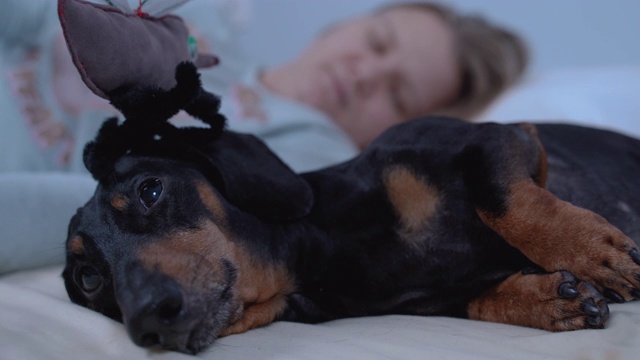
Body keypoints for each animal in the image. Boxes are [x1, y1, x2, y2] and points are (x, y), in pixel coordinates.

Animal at [62, 63, 640, 352]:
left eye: (150, 190)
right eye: (87, 281)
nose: (147, 322)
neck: (332, 248)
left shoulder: (496, 139)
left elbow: (506, 203)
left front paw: (593, 253)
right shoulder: (427, 303)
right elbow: (475, 301)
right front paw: (547, 298)